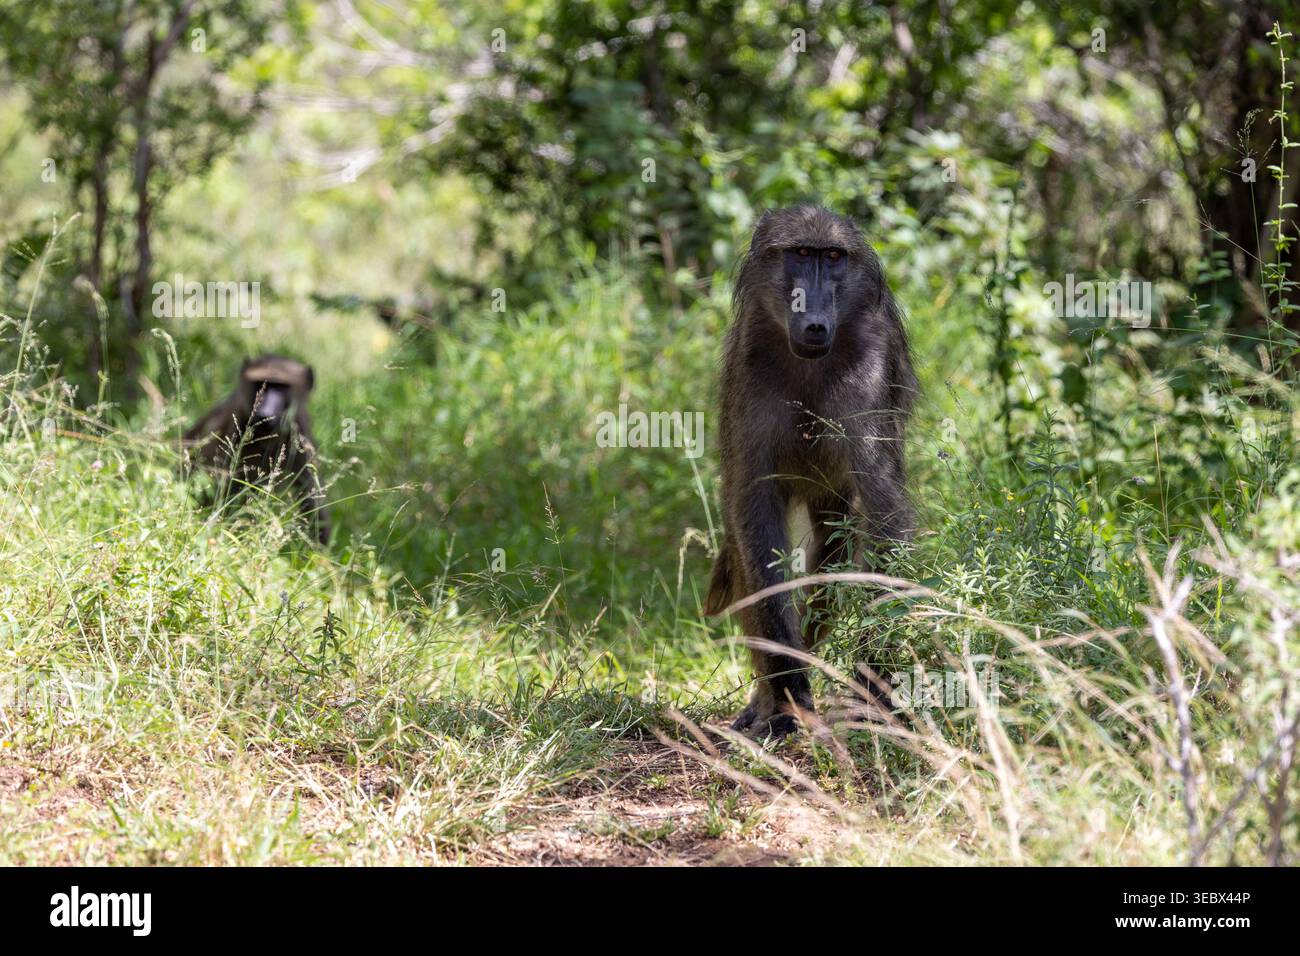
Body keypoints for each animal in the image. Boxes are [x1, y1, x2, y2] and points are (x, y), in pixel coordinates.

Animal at [704, 205, 916, 737]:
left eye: (833, 258)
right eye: (801, 253)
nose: (816, 322)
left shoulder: (869, 371)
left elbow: (885, 510)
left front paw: (874, 690)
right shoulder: (749, 367)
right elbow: (753, 509)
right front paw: (787, 699)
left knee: (832, 566)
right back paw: (765, 699)